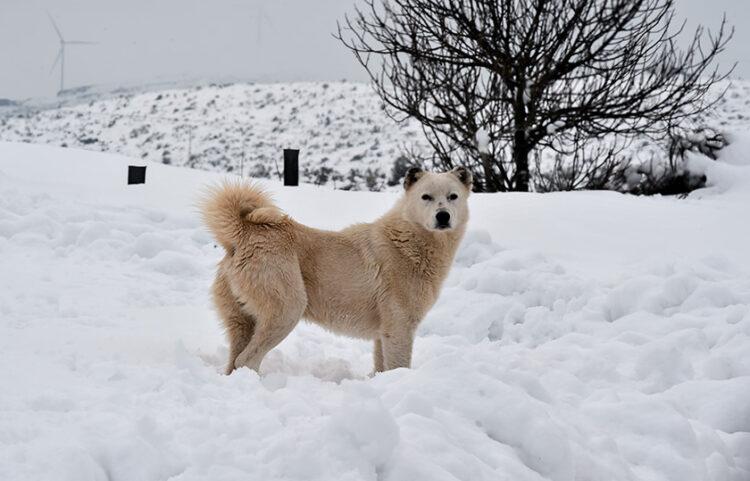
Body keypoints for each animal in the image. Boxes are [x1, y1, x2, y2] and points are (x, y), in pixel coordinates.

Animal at [200, 167, 470, 374]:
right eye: (426, 197)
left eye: (453, 196)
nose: (443, 216)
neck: (409, 240)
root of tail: (244, 232)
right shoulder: (399, 326)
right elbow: (398, 365)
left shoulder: (382, 333)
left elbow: (380, 366)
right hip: (287, 309)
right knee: (247, 360)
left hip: (243, 320)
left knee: (234, 360)